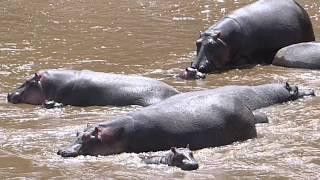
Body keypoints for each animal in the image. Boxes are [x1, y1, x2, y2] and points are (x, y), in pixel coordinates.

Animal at [180, 0, 316, 79]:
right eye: (197, 43)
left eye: (213, 46)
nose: (196, 66)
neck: (223, 41)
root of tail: (300, 7)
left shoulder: (244, 56)